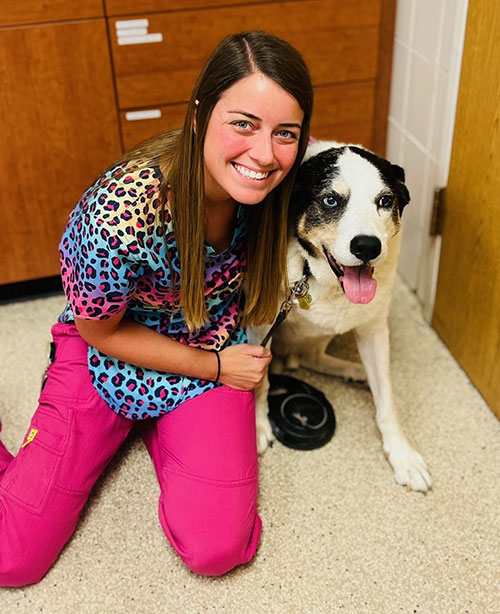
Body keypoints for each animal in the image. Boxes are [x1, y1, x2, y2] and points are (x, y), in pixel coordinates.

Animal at [248, 142, 432, 494]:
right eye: (331, 200)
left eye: (385, 201)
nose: (367, 247)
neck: (314, 275)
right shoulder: (261, 323)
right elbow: (260, 381)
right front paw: (259, 425)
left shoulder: (374, 329)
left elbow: (387, 400)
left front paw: (403, 454)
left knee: (312, 357)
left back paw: (355, 371)